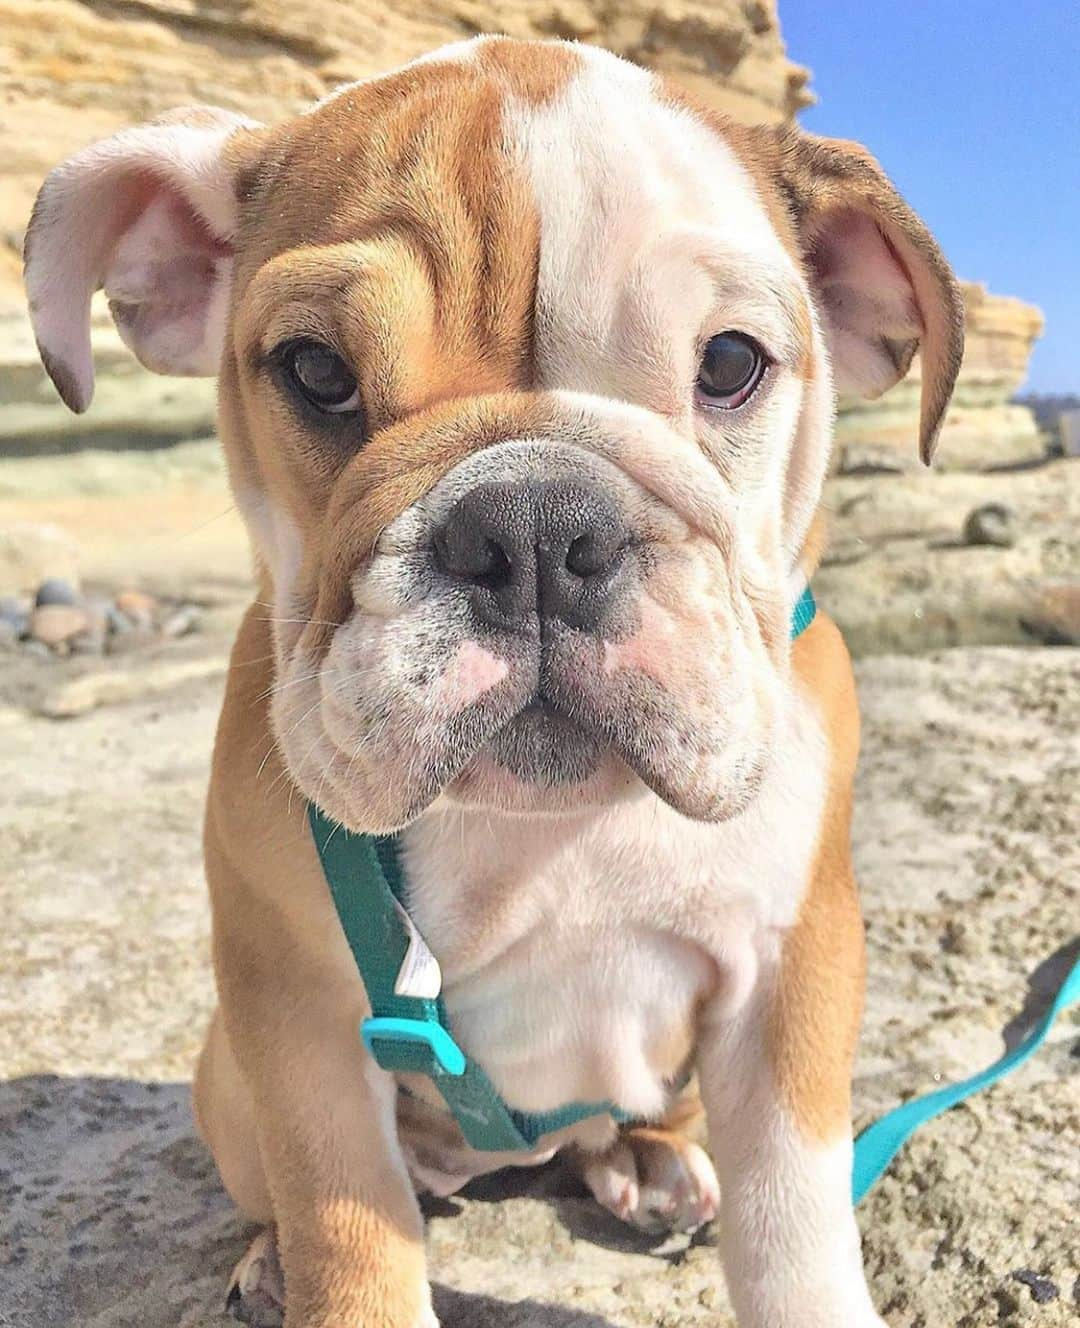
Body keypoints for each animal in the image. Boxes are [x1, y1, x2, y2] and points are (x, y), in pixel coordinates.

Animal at [25, 36, 961, 1322]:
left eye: (731, 365)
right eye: (314, 370)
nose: (533, 526)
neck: (546, 834)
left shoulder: (793, 969)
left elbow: (795, 1225)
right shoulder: (300, 1013)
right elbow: (348, 1228)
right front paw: (327, 1266)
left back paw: (649, 1161)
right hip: (227, 1073)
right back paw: (274, 1258)